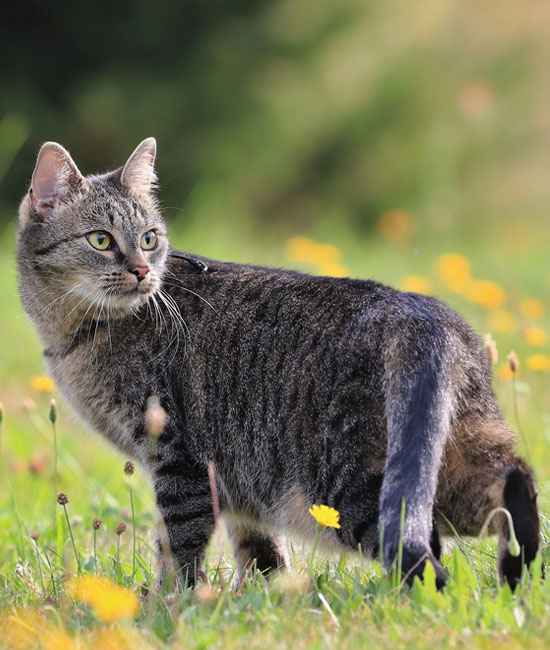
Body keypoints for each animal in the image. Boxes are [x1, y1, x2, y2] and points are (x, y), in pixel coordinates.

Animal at [17, 137, 544, 588]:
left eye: (149, 239)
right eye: (101, 240)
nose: (143, 271)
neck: (76, 332)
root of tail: (423, 313)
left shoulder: (180, 460)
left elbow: (178, 549)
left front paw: (168, 608)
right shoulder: (235, 483)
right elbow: (261, 554)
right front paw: (265, 599)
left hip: (347, 485)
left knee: (426, 551)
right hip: (457, 452)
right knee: (513, 483)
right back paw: (521, 574)